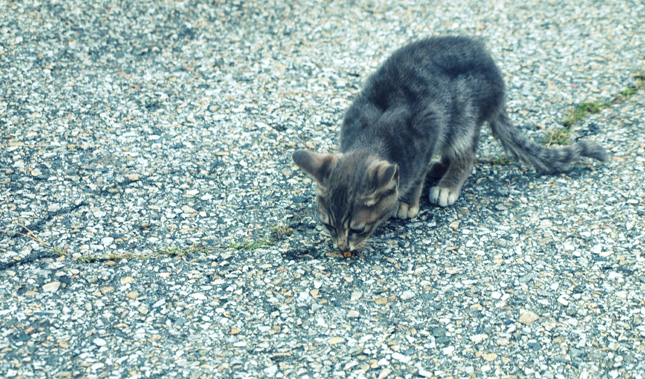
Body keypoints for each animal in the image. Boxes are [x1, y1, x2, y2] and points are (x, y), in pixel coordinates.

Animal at [292, 37, 604, 254]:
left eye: (358, 229)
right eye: (328, 225)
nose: (342, 247)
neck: (373, 136)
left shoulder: (429, 127)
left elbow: (416, 174)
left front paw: (408, 201)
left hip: (463, 117)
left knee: (466, 153)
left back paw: (447, 183)